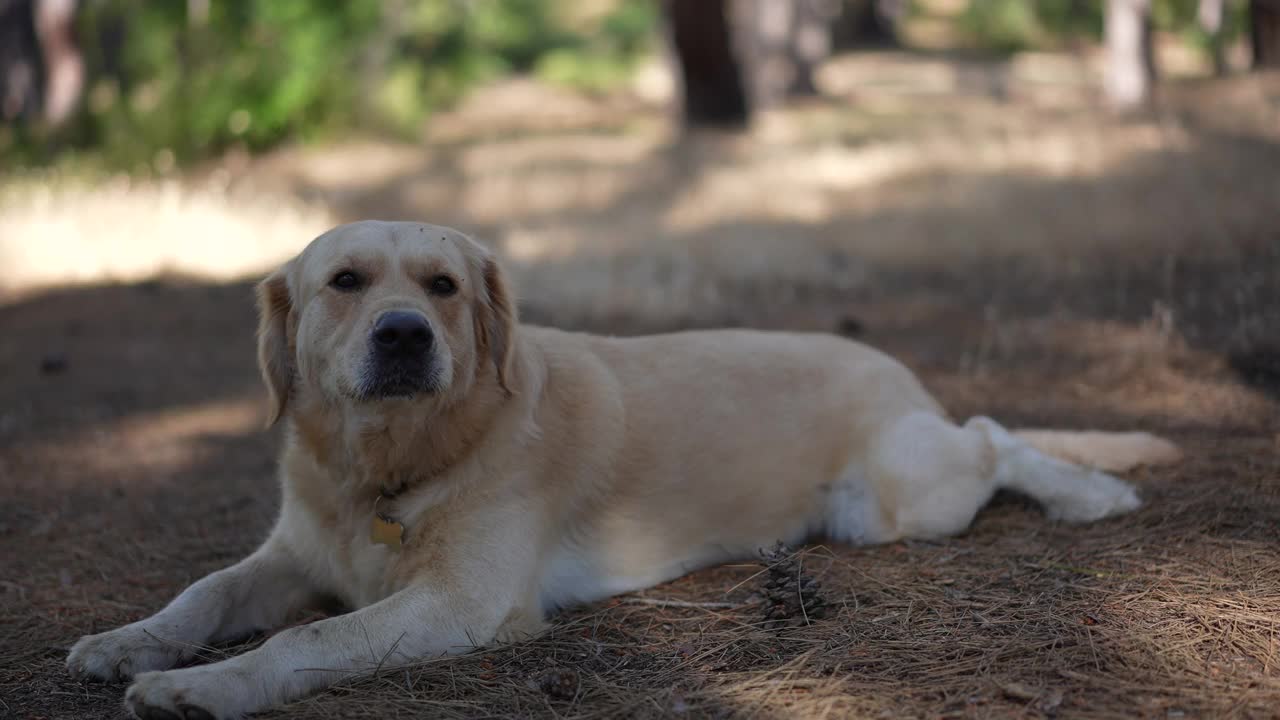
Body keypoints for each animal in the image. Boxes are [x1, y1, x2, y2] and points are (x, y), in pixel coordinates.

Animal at [62, 221, 1177, 712]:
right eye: (344, 281)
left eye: (441, 285)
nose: (403, 335)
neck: (390, 465)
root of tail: (895, 368)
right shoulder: (292, 555)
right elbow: (204, 595)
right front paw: (127, 643)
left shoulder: (463, 604)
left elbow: (306, 640)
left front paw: (203, 690)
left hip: (904, 497)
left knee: (994, 434)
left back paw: (1090, 491)